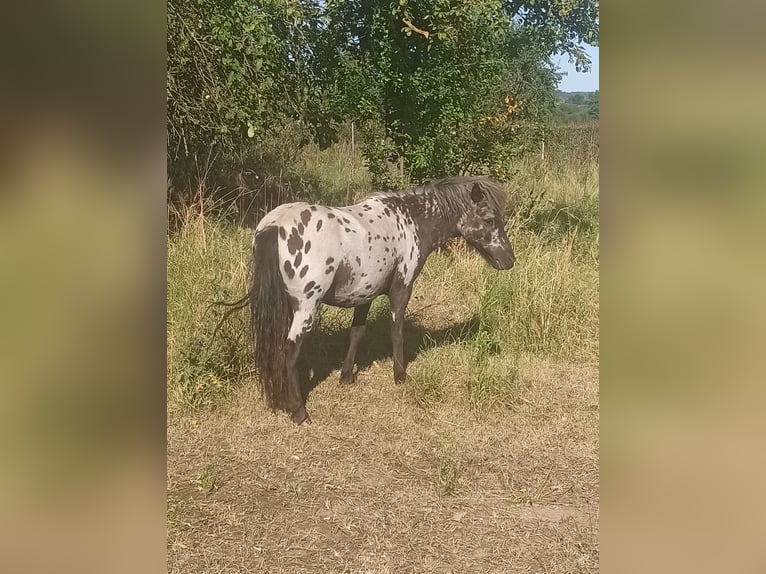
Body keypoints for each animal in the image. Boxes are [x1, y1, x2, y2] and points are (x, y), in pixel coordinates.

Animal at [248, 176, 516, 424]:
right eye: (489, 219)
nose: (510, 260)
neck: (409, 221)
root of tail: (275, 226)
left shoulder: (364, 294)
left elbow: (357, 332)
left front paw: (346, 376)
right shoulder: (402, 289)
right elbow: (396, 331)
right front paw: (400, 375)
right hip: (306, 308)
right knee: (290, 351)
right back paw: (299, 410)